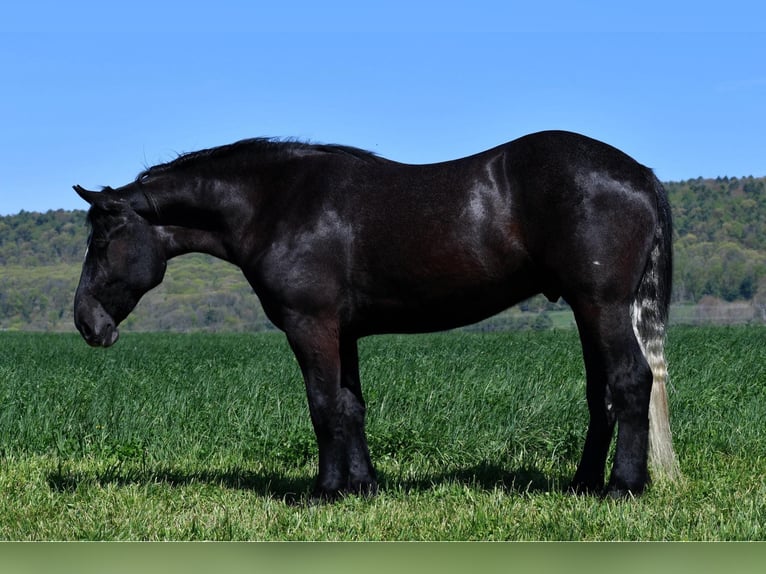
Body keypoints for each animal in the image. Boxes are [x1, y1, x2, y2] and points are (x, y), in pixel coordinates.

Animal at [73, 130, 680, 500]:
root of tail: (639, 174)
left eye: (101, 240)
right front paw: (361, 486)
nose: (86, 323)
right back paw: (584, 484)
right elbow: (350, 407)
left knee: (630, 382)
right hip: (586, 310)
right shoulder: (343, 332)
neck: (276, 204)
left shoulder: (310, 325)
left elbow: (322, 407)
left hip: (602, 306)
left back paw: (623, 487)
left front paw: (323, 493)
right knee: (601, 394)